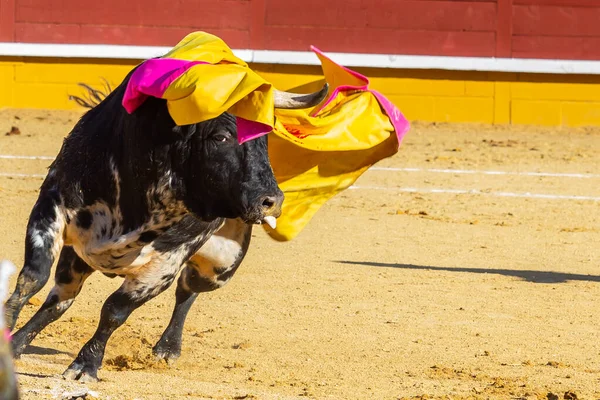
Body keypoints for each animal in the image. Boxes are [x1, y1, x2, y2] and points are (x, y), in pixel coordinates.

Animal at [3, 67, 328, 382]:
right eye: (221, 137)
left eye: (266, 137)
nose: (271, 200)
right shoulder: (52, 205)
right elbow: (33, 278)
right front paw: (8, 332)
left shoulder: (164, 266)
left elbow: (114, 311)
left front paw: (85, 366)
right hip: (80, 256)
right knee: (61, 297)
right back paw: (19, 343)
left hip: (219, 267)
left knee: (188, 289)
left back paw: (167, 348)